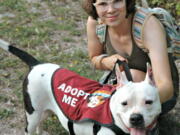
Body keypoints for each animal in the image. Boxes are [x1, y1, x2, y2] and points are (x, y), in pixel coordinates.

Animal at [0, 39, 160, 135]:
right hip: (32, 113)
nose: (136, 118)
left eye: (149, 102)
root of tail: (36, 64)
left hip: (42, 111)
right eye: (124, 103)